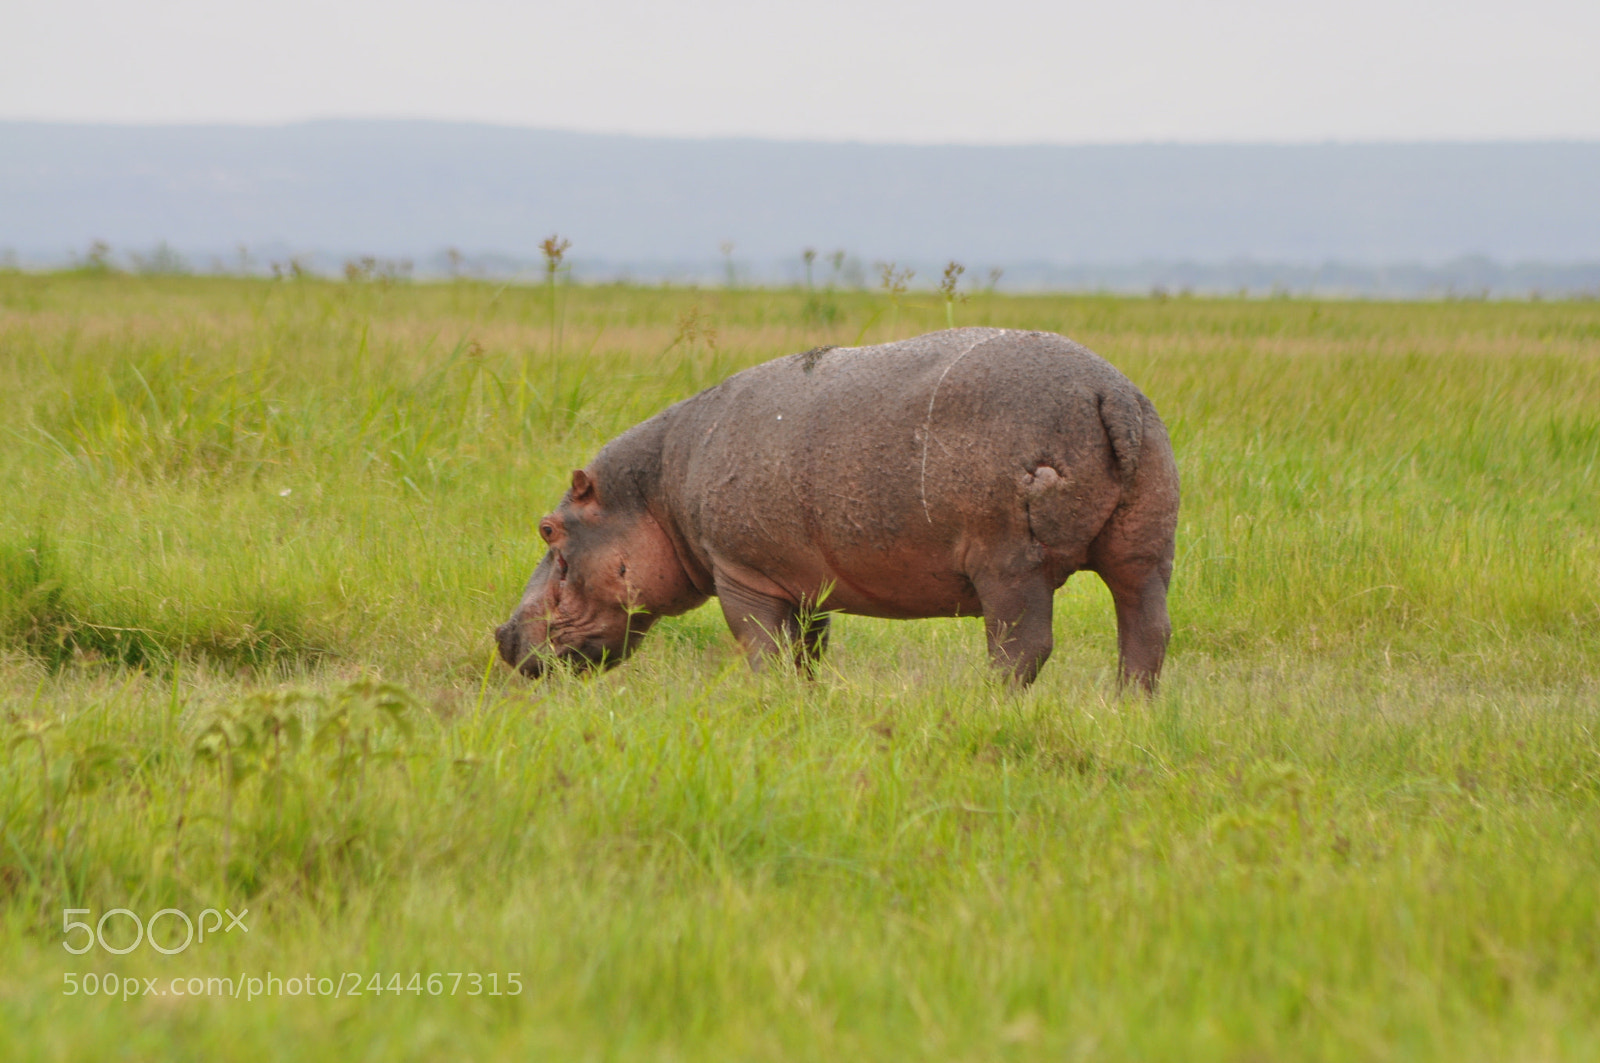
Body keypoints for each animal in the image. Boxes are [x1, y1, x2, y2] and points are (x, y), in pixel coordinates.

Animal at [496, 327, 1179, 690]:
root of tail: (1110, 392)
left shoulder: (742, 575)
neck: (656, 489)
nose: (502, 635)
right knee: (1145, 634)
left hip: (1010, 564)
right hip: (1145, 548)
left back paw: (988, 704)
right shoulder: (803, 584)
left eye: (548, 529)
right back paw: (1125, 711)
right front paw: (806, 700)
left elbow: (762, 650)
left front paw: (769, 701)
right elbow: (806, 652)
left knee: (1021, 650)